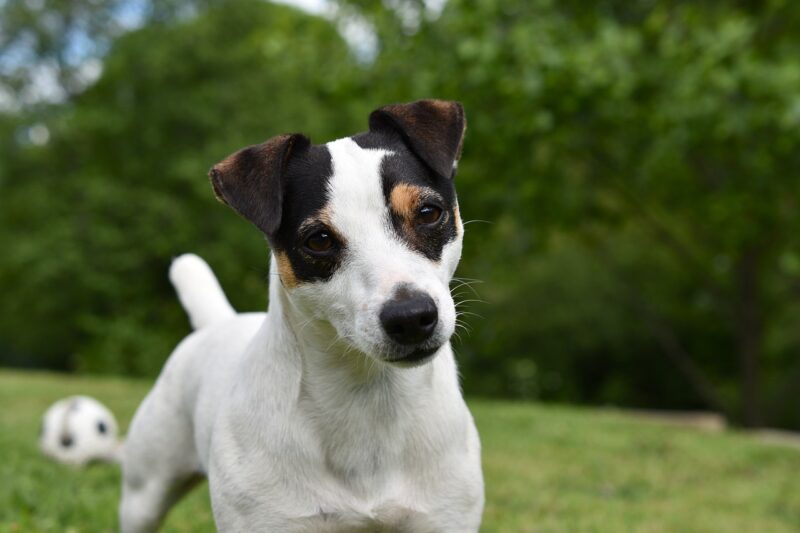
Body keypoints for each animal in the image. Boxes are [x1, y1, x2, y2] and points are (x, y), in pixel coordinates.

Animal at [119, 100, 482, 532]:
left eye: (428, 212)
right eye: (319, 240)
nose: (410, 316)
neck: (367, 398)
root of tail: (218, 321)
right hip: (144, 494)